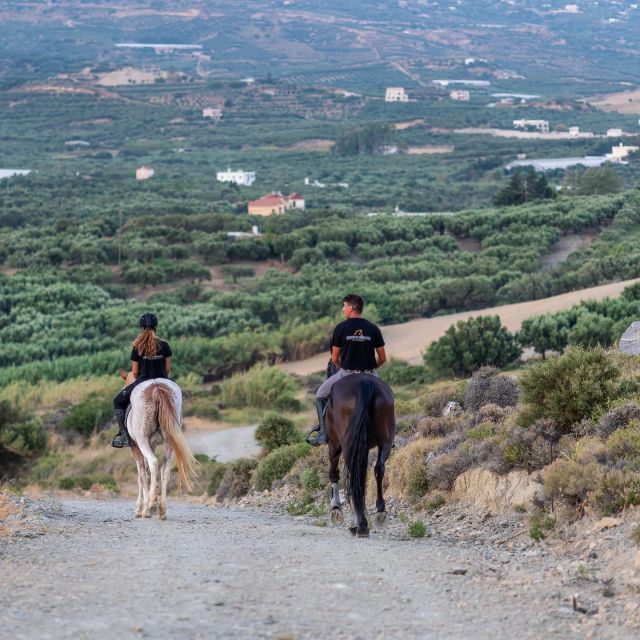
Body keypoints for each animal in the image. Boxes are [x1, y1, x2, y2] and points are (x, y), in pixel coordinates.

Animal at [124, 378, 196, 516]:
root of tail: (156, 386)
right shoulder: (152, 445)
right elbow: (146, 474)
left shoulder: (135, 447)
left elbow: (141, 476)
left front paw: (140, 508)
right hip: (169, 442)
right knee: (165, 470)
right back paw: (161, 509)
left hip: (142, 440)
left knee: (153, 463)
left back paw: (150, 504)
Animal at [330, 372, 396, 536]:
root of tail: (364, 381)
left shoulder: (334, 444)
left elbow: (334, 472)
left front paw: (336, 508)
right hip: (385, 441)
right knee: (378, 468)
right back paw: (379, 512)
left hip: (345, 444)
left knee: (353, 474)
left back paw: (360, 524)